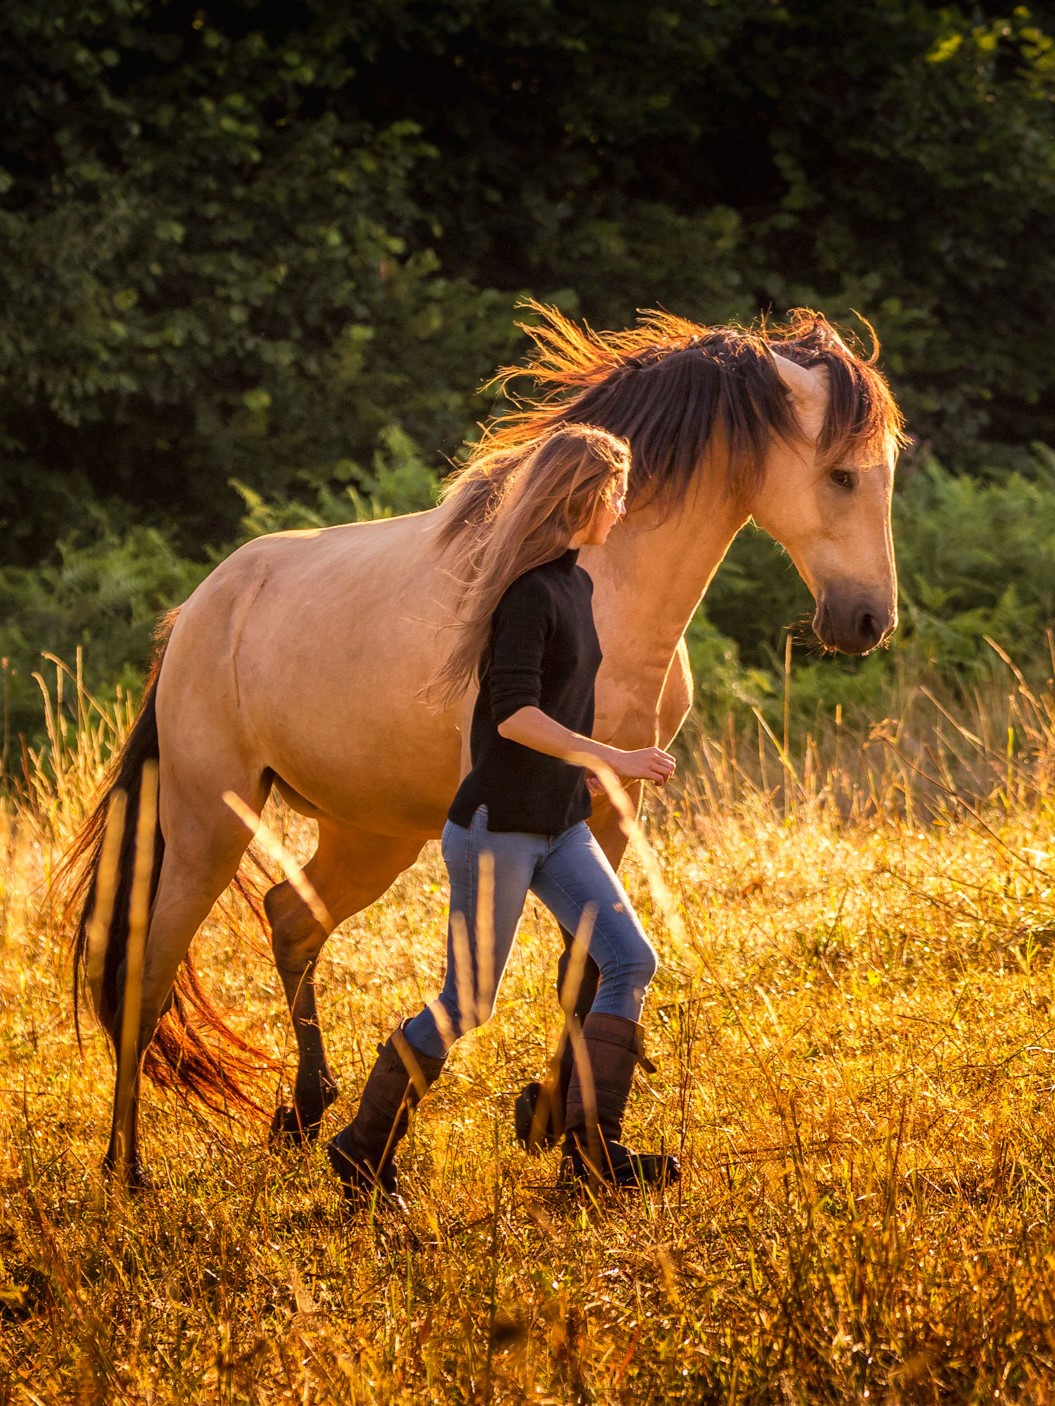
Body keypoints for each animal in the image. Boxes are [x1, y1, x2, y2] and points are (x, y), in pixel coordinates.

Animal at [64, 303, 905, 1186]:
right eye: (840, 476)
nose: (866, 622)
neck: (602, 590)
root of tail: (195, 612)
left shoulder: (607, 808)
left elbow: (586, 964)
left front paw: (570, 1136)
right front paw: (565, 1131)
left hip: (368, 836)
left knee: (291, 918)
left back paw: (304, 1112)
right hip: (209, 827)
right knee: (149, 972)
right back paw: (127, 1168)